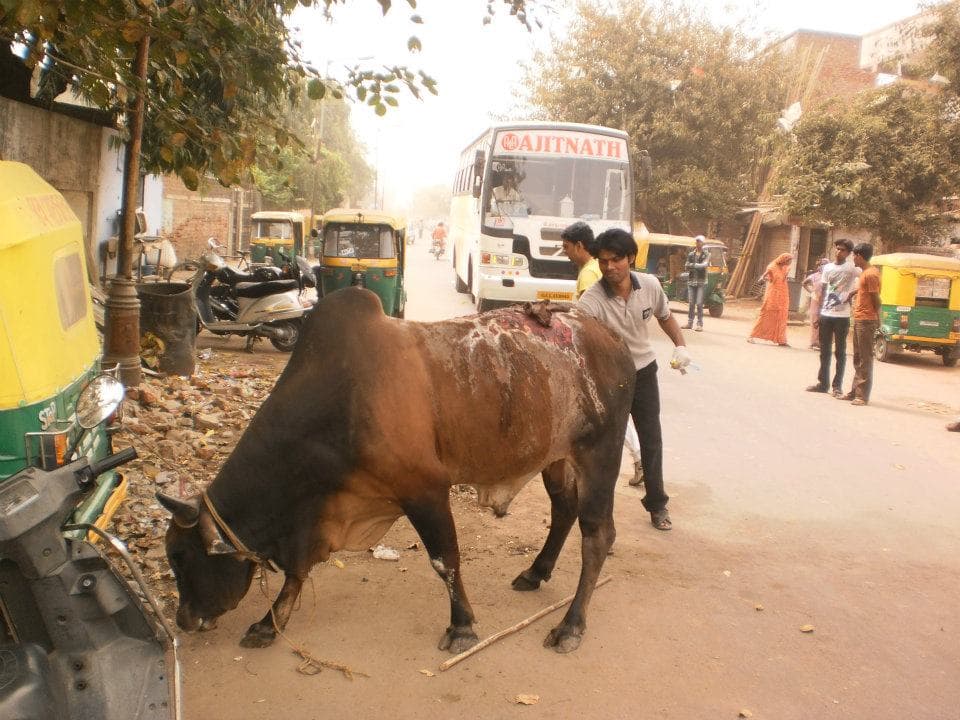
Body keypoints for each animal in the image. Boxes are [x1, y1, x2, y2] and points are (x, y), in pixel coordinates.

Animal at [157, 286, 635, 654]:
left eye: (180, 557)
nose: (183, 620)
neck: (341, 402)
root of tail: (611, 337)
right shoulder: (322, 512)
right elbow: (299, 570)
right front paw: (267, 624)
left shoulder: (425, 490)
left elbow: (445, 560)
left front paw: (462, 627)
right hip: (556, 458)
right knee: (564, 511)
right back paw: (536, 572)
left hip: (600, 453)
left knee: (598, 536)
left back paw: (570, 625)